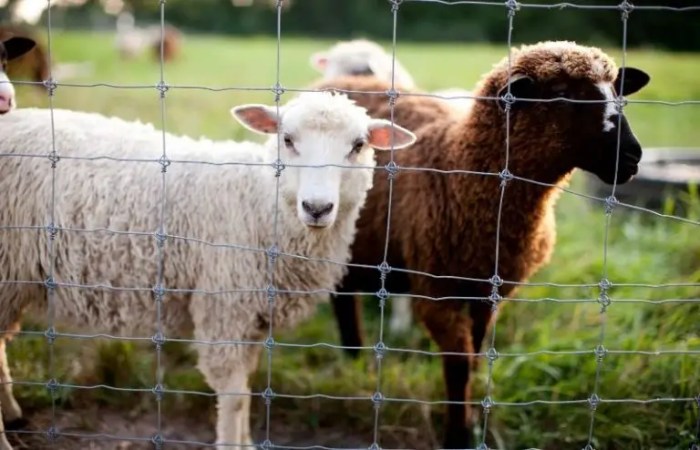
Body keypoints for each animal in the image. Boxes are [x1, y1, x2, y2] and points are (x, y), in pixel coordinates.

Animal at [0, 92, 416, 450]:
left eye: (358, 145)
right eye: (287, 139)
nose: (317, 207)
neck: (259, 202)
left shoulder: (251, 318)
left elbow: (247, 387)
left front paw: (247, 443)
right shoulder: (223, 309)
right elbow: (234, 397)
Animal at [312, 40, 652, 448]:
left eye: (618, 90)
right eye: (562, 93)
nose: (632, 155)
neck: (462, 170)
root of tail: (335, 86)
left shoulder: (489, 292)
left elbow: (474, 356)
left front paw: (471, 421)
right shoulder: (436, 294)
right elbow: (458, 364)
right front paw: (457, 433)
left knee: (344, 297)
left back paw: (355, 359)